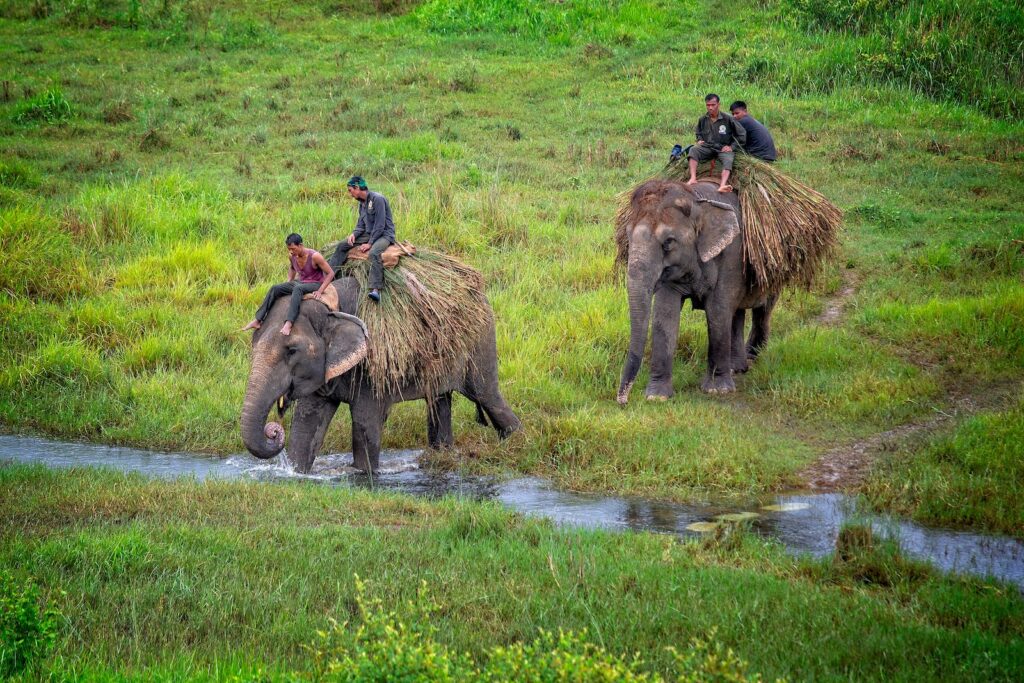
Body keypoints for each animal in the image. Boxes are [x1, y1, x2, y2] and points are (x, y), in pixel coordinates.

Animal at [241, 276, 521, 473]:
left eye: (291, 350)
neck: (331, 305)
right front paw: (297, 473)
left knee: (487, 396)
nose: (273, 431)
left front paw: (364, 474)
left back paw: (516, 442)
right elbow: (307, 423)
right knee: (440, 402)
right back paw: (442, 455)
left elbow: (365, 422)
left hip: (480, 340)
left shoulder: (372, 362)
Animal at [617, 179, 779, 401]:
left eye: (668, 242)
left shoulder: (732, 253)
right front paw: (657, 397)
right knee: (736, 312)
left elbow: (717, 311)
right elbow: (664, 314)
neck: (696, 199)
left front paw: (717, 390)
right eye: (627, 237)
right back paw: (737, 368)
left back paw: (751, 358)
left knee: (762, 307)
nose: (622, 401)